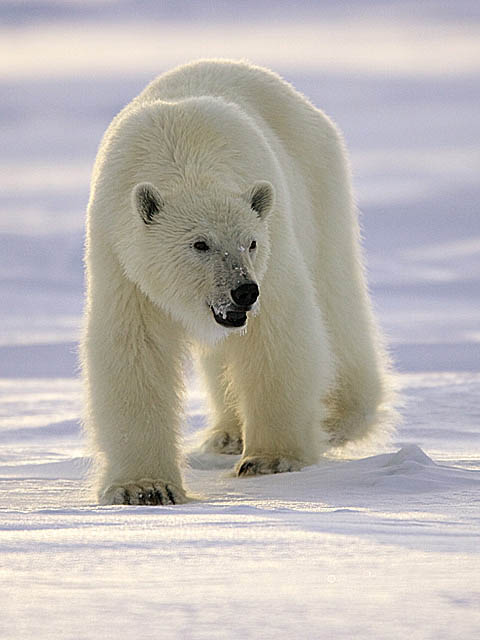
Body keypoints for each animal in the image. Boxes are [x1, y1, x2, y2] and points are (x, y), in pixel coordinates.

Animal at [79, 62, 394, 508]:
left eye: (250, 242)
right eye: (200, 243)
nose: (243, 291)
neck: (181, 152)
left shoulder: (272, 247)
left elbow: (275, 335)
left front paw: (271, 459)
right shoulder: (121, 259)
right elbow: (135, 349)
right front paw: (144, 487)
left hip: (320, 190)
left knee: (336, 298)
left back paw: (337, 413)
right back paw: (228, 433)